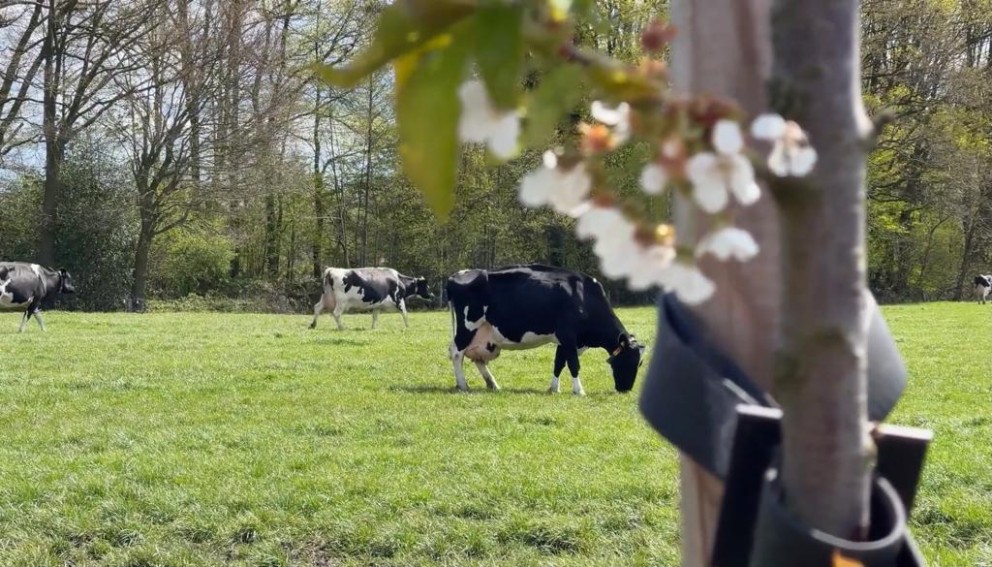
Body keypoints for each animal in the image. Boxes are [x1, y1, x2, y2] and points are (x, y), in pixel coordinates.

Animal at [446, 264, 645, 395]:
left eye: (640, 363)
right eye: (628, 361)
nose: (626, 390)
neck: (583, 296)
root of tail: (458, 274)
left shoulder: (564, 341)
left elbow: (559, 363)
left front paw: (554, 388)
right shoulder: (568, 336)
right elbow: (573, 364)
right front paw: (579, 390)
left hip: (485, 337)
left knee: (477, 358)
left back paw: (493, 384)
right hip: (468, 327)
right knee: (456, 353)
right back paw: (463, 385)